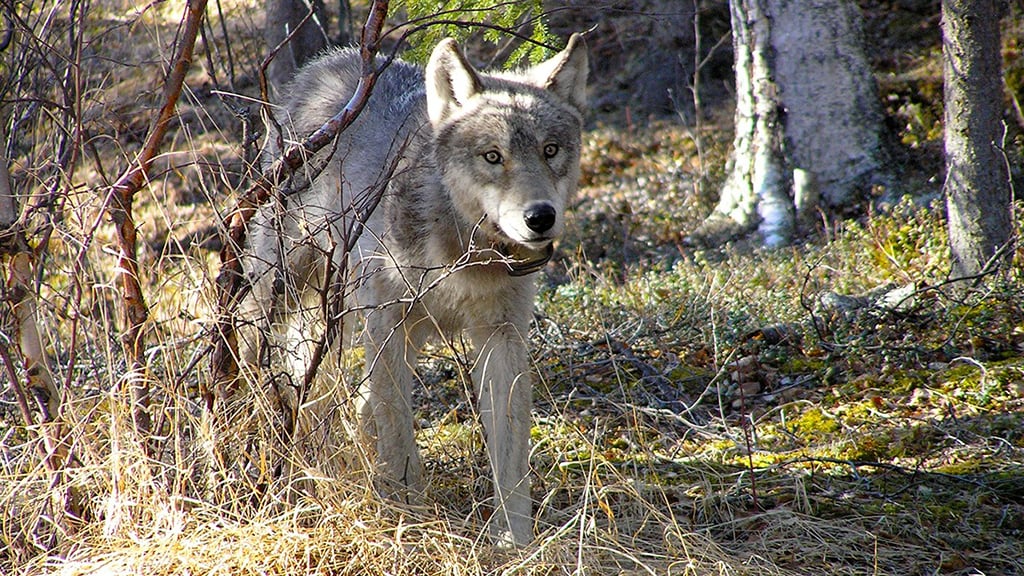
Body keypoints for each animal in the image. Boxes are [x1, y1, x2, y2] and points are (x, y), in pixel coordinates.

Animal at [237, 35, 588, 547]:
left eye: (551, 150)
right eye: (492, 156)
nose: (540, 217)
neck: (466, 251)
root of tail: (326, 63)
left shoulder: (502, 337)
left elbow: (510, 452)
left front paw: (514, 541)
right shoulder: (388, 325)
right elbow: (401, 436)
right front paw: (408, 518)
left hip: (362, 322)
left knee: (344, 394)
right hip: (286, 294)